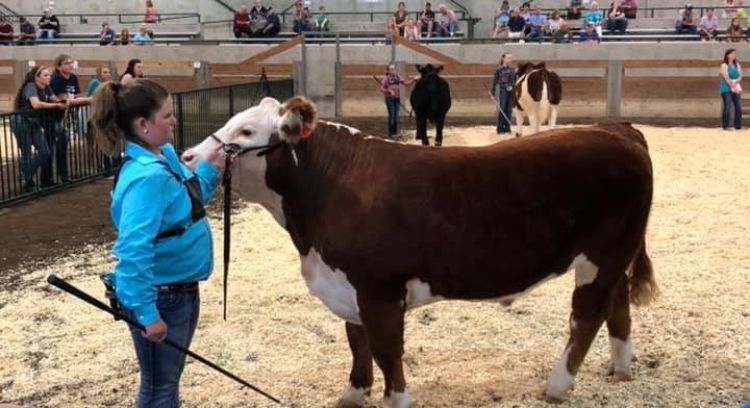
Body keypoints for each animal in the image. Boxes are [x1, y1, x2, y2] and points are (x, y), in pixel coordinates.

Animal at [182, 97, 658, 408]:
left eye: (247, 132)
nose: (187, 156)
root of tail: (617, 130)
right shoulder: (348, 286)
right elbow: (356, 344)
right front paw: (352, 395)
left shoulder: (379, 291)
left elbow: (386, 352)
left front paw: (395, 400)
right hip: (614, 255)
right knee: (617, 306)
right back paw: (621, 368)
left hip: (602, 255)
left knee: (587, 316)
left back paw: (557, 386)